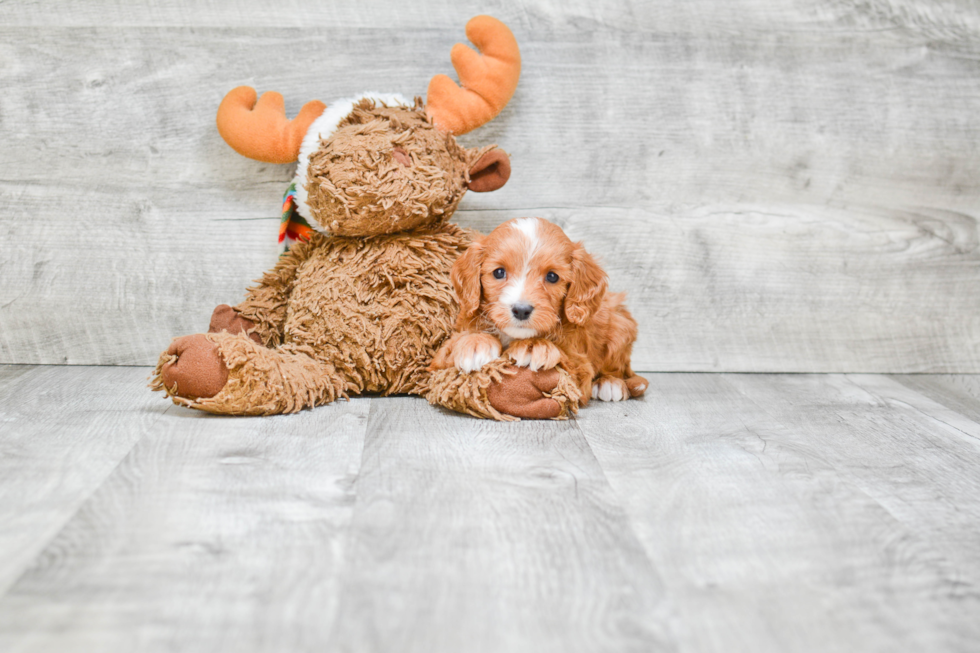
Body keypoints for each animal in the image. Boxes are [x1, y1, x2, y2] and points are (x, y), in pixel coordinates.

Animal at [430, 216, 648, 404]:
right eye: (499, 272)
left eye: (552, 276)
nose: (521, 310)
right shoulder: (436, 363)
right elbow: (450, 347)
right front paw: (474, 344)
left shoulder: (580, 369)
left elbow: (567, 359)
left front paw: (533, 346)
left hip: (620, 327)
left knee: (618, 369)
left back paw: (610, 383)